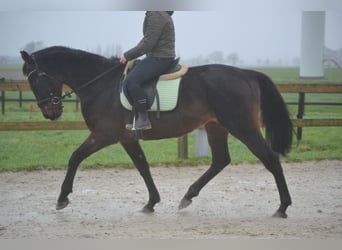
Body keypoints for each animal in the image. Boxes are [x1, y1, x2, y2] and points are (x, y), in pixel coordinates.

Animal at [21, 46, 292, 218]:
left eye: (34, 80)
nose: (50, 112)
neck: (101, 85)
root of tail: (246, 74)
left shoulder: (104, 134)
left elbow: (75, 157)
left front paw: (62, 198)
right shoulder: (127, 138)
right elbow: (143, 166)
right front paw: (151, 203)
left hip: (242, 126)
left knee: (271, 160)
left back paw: (283, 207)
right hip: (216, 126)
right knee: (220, 160)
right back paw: (188, 195)